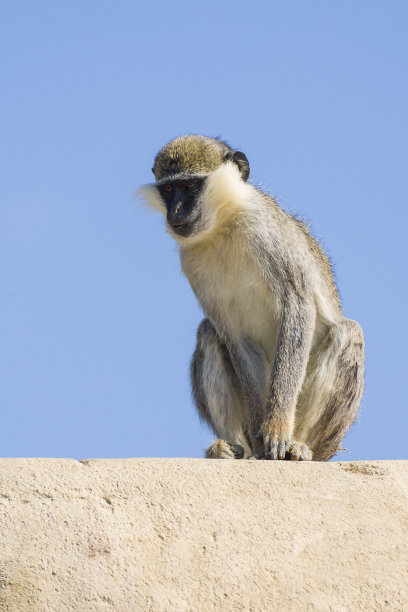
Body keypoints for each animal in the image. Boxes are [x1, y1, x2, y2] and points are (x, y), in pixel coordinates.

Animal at [142, 134, 364, 460]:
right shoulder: (191, 263)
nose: (176, 213)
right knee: (209, 332)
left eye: (191, 185)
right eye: (169, 189)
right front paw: (262, 440)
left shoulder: (269, 234)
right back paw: (229, 448)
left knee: (347, 332)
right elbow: (234, 336)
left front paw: (277, 427)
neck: (224, 225)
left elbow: (298, 308)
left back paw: (301, 446)